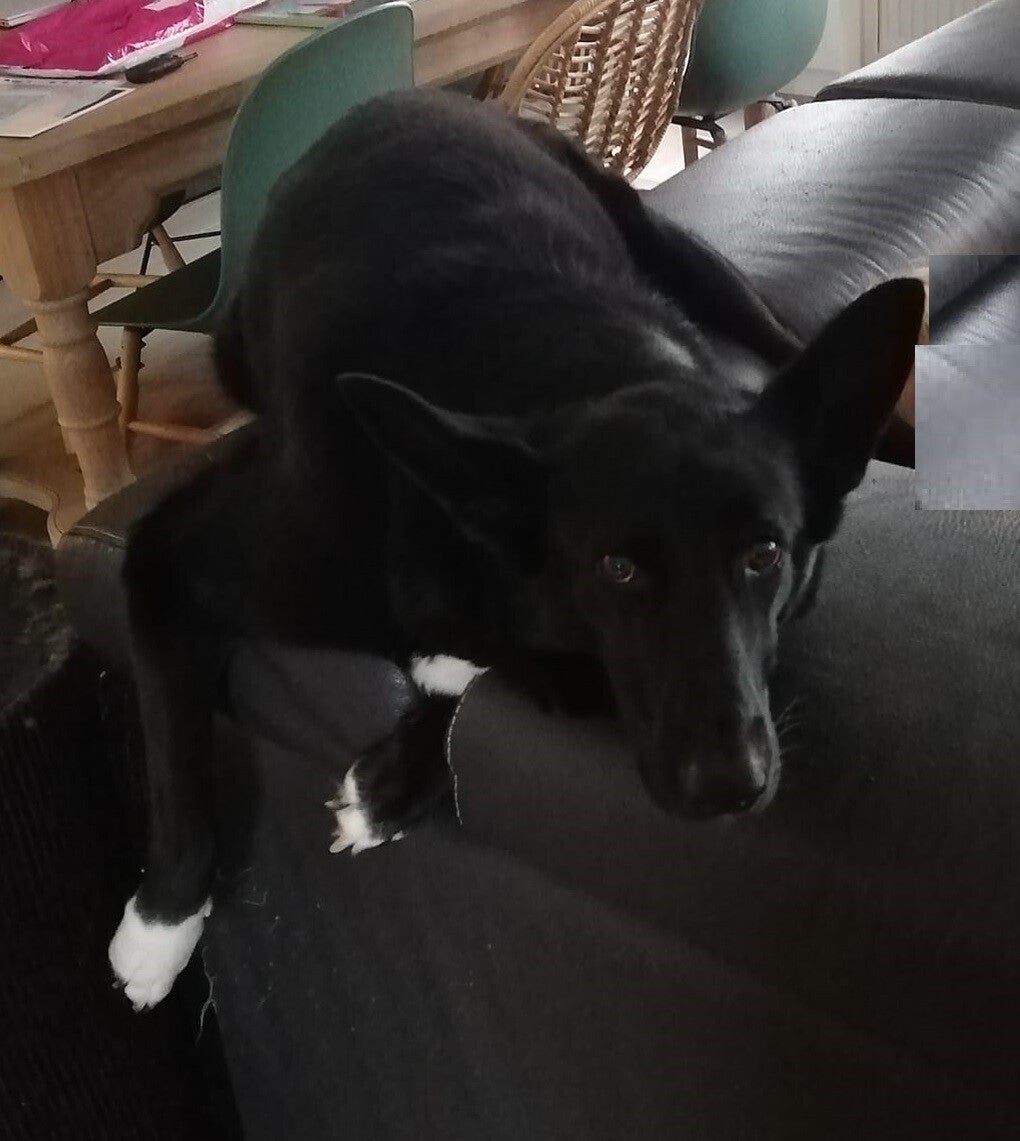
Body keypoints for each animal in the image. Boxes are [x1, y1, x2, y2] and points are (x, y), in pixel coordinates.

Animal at [108, 89, 925, 1010]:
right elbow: (175, 754)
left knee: (783, 333)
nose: (730, 783)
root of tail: (408, 97)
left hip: (678, 254)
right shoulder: (182, 559)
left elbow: (511, 669)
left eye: (766, 553)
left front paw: (399, 772)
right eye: (617, 568)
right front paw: (160, 925)